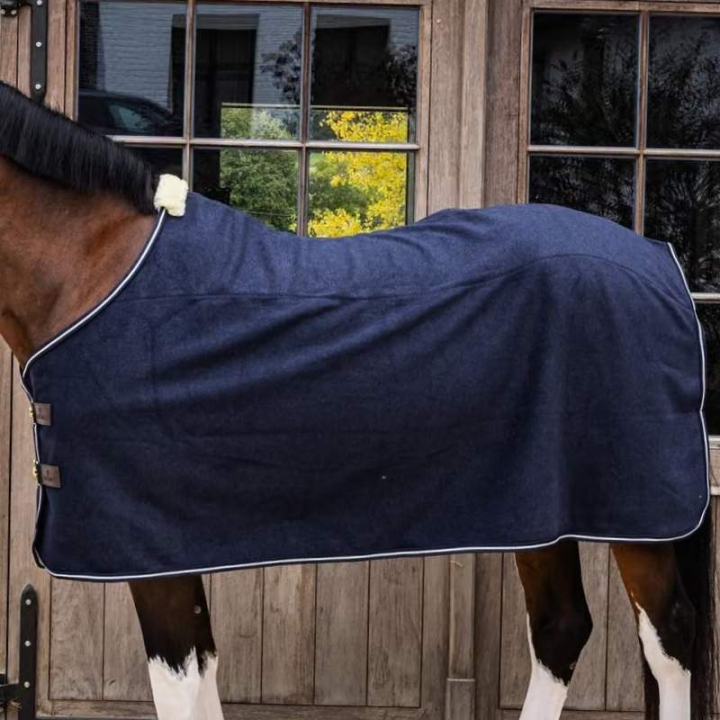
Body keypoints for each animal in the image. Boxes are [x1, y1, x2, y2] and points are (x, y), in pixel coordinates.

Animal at [0, 80, 715, 720]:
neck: (97, 273)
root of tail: (662, 264)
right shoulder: (174, 547)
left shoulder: (151, 548)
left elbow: (179, 686)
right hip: (538, 505)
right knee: (561, 627)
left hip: (633, 512)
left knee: (670, 635)